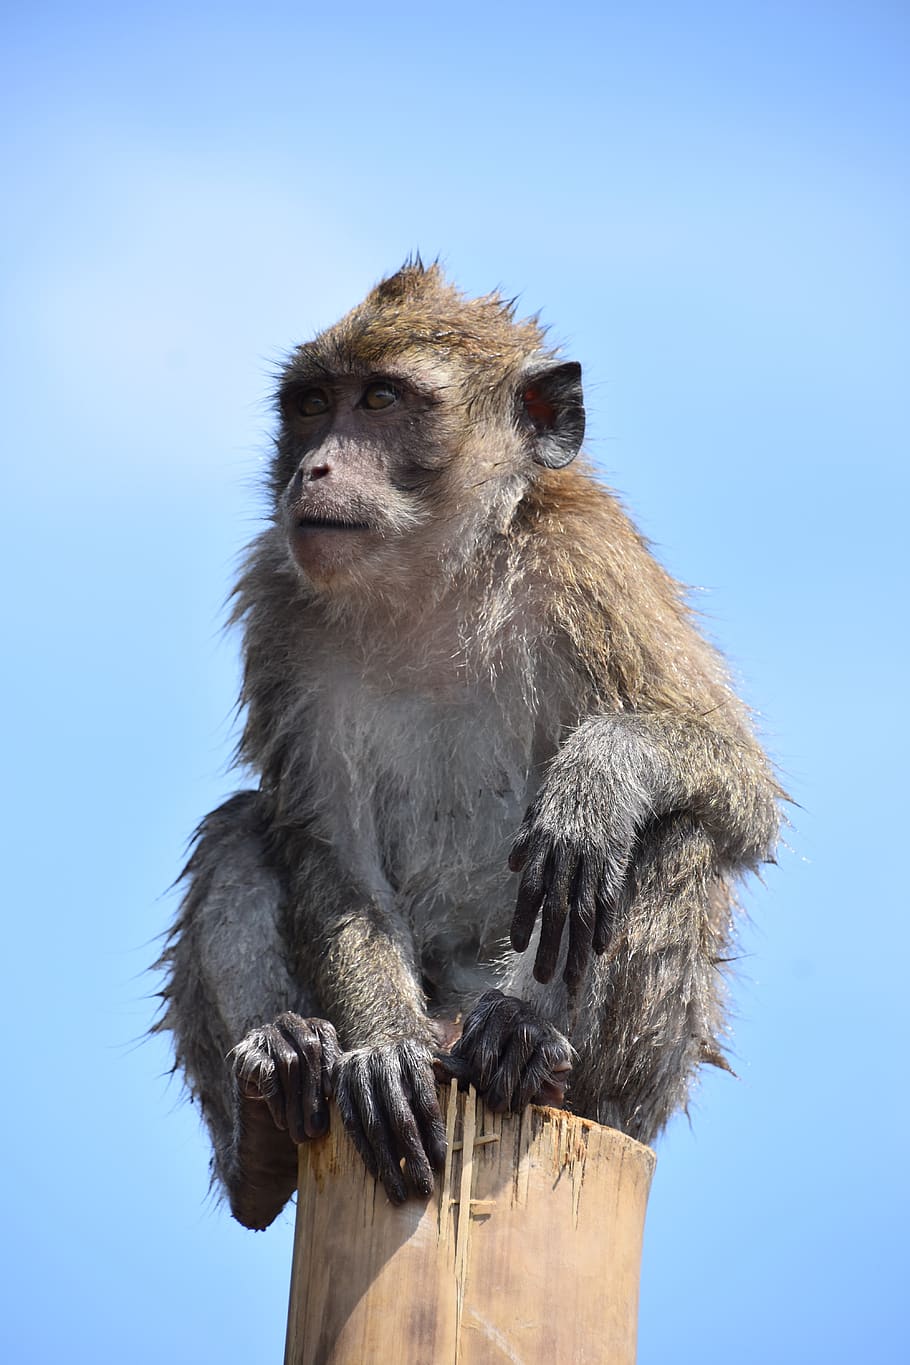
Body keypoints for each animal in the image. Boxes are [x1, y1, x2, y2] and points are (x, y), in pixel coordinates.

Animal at [155, 260, 782, 1232]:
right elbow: (326, 844)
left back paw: (536, 1052)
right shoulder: (280, 607)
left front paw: (599, 779)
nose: (313, 467)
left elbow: (737, 784)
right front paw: (382, 1047)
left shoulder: (590, 562)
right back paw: (270, 1111)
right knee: (239, 826)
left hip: (604, 1084)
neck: (432, 578)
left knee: (676, 837)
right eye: (311, 404)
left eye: (380, 398)